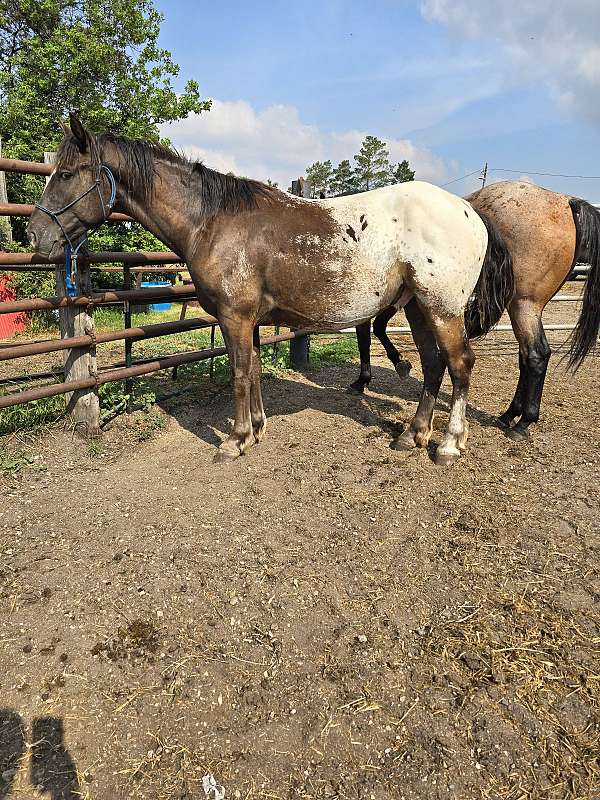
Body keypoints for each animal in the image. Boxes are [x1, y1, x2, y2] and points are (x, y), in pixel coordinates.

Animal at [28, 112, 512, 462]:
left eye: (67, 174)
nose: (35, 234)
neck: (212, 220)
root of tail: (470, 212)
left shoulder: (235, 317)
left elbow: (239, 374)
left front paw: (235, 439)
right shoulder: (252, 321)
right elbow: (256, 369)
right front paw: (257, 430)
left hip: (442, 308)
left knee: (460, 365)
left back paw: (448, 444)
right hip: (416, 307)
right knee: (432, 365)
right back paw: (412, 435)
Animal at [352, 180, 600, 444]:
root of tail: (566, 201)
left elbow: (368, 336)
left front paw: (371, 376)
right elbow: (376, 330)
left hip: (524, 304)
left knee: (536, 354)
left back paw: (523, 423)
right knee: (525, 356)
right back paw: (509, 415)